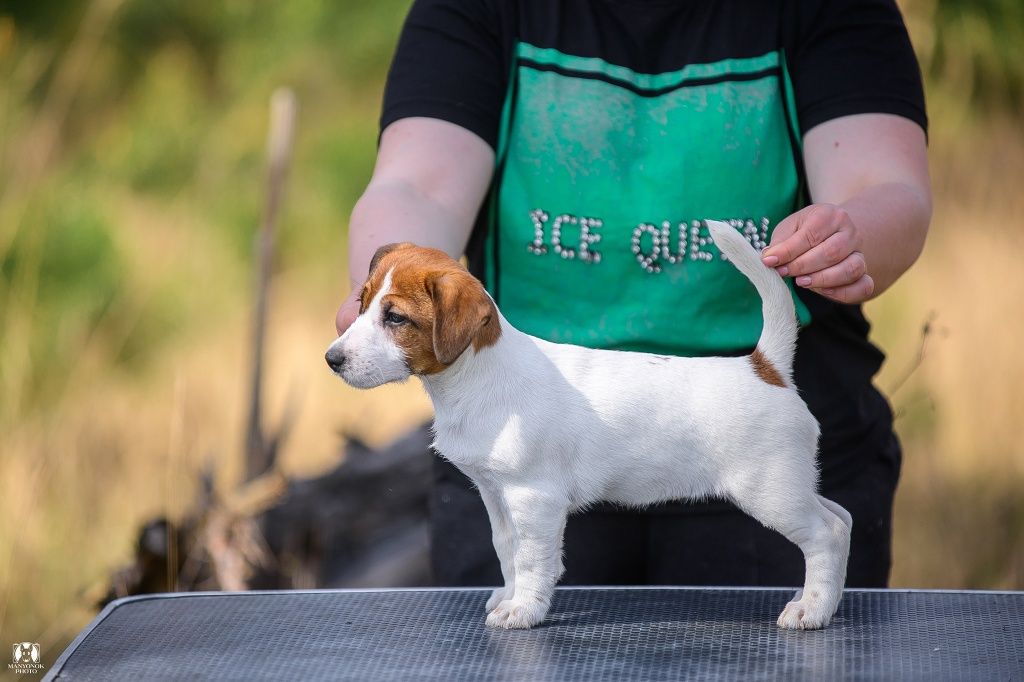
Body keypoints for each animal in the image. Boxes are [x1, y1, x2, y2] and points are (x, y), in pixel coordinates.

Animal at [325, 220, 847, 630]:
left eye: (396, 317)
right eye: (362, 303)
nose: (332, 359)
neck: (479, 375)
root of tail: (766, 367)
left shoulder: (535, 498)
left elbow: (533, 560)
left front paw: (523, 610)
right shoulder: (495, 494)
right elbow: (506, 550)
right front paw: (506, 595)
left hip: (769, 492)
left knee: (824, 536)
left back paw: (812, 612)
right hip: (792, 485)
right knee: (840, 519)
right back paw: (815, 600)